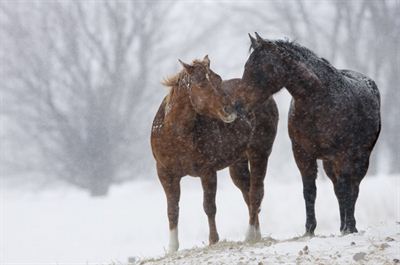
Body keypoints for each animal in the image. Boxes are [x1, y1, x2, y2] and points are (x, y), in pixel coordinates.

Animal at [151, 55, 278, 252]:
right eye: (202, 83)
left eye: (218, 79)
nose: (230, 110)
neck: (176, 134)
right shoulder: (166, 174)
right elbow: (172, 210)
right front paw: (172, 247)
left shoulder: (207, 171)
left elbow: (209, 206)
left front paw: (213, 240)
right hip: (238, 164)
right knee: (247, 192)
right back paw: (256, 234)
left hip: (260, 153)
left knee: (256, 193)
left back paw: (250, 235)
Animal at [234, 32, 382, 235]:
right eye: (246, 66)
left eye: (262, 67)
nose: (237, 105)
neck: (319, 99)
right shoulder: (303, 154)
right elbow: (309, 191)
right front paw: (309, 229)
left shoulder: (343, 154)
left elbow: (347, 189)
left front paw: (349, 227)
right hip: (329, 162)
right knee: (338, 189)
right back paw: (342, 225)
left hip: (360, 158)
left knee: (353, 187)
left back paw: (349, 226)